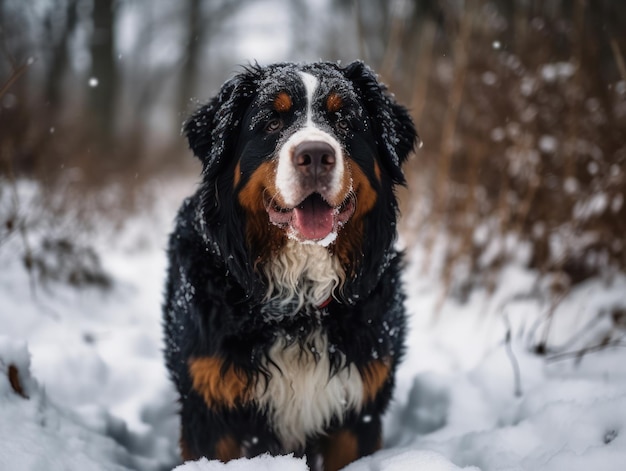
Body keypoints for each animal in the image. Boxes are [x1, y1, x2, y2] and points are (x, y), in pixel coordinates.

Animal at [163, 60, 416, 470]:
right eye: (271, 122)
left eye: (344, 121)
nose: (315, 155)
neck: (300, 307)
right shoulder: (210, 407)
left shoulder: (357, 412)